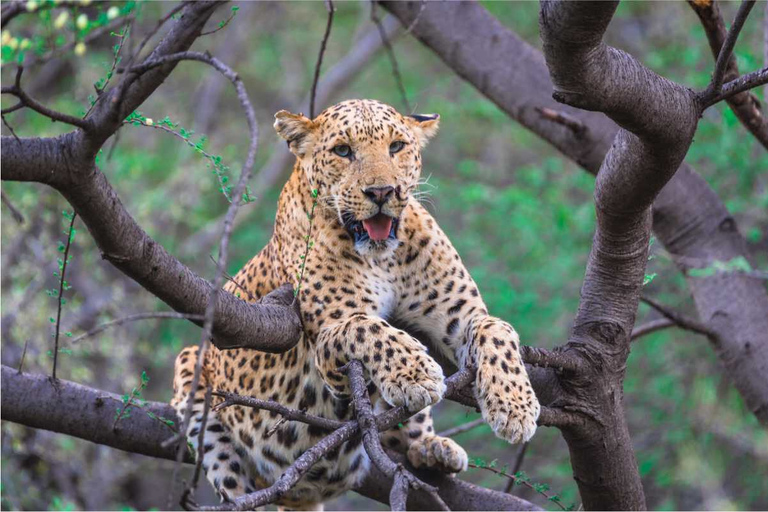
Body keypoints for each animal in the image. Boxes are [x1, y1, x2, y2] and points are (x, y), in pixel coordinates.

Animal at [170, 98, 536, 510]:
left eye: (396, 147)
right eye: (343, 151)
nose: (382, 192)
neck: (384, 258)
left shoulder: (462, 317)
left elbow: (498, 329)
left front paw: (515, 407)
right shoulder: (330, 346)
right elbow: (371, 328)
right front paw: (417, 374)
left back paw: (432, 449)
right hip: (194, 368)